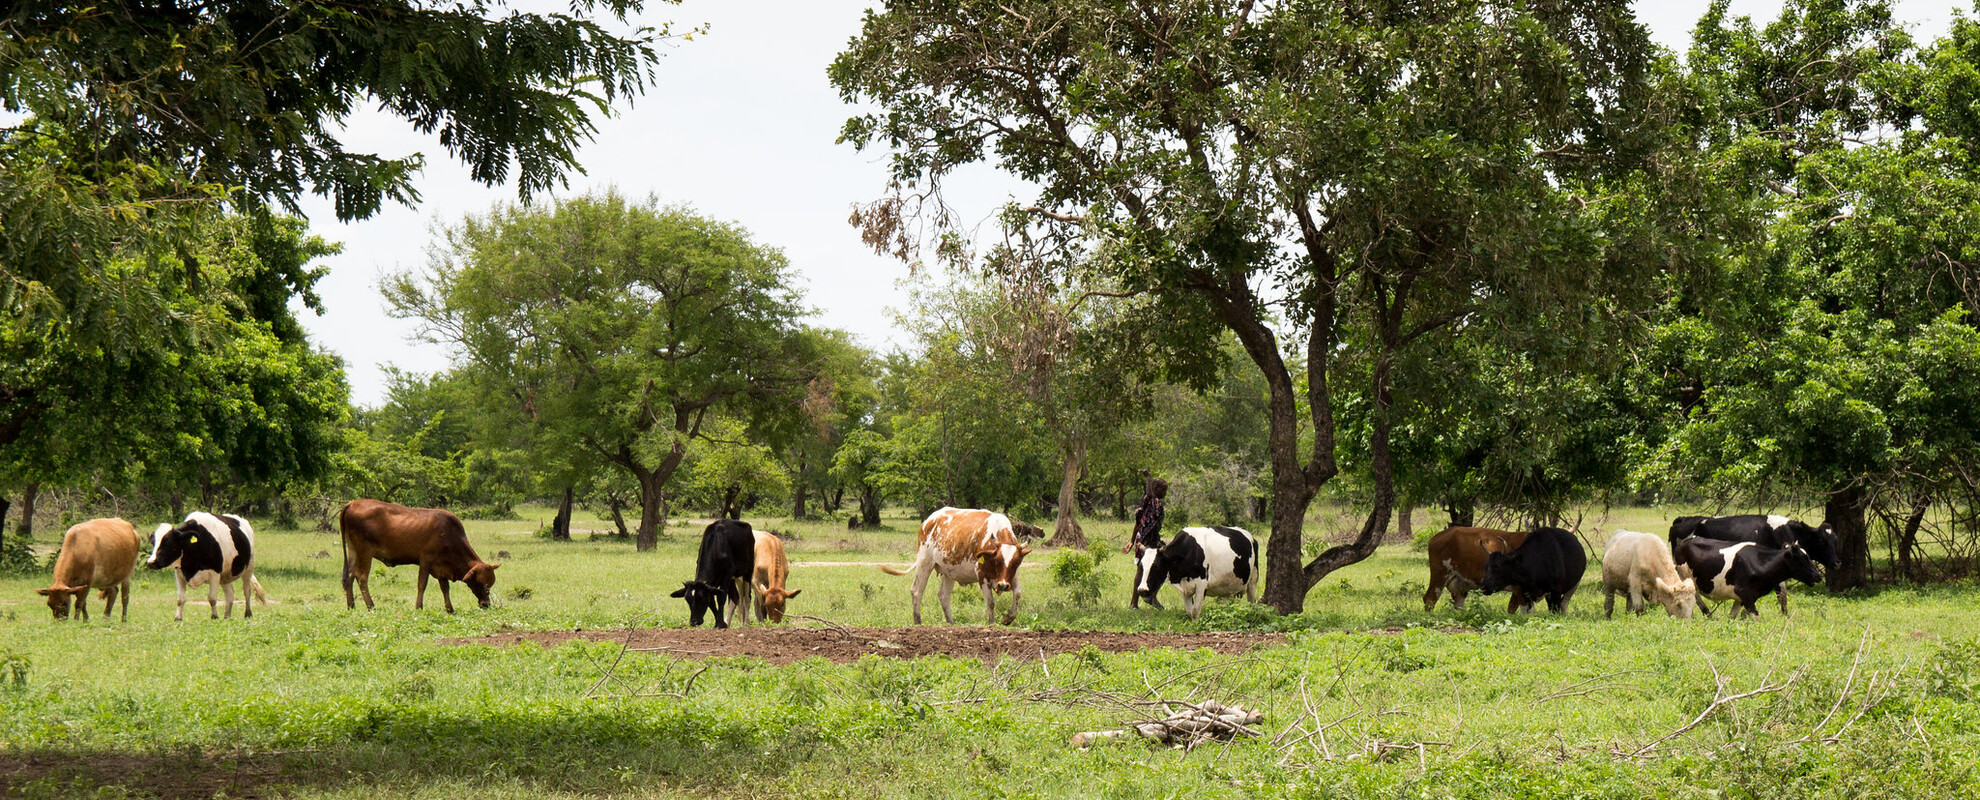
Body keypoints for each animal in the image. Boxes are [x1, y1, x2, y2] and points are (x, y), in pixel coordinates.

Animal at [338, 499, 498, 613]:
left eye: (490, 584)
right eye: (481, 583)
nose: (486, 604)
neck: (450, 535)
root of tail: (352, 503)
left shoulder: (441, 567)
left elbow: (445, 587)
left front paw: (449, 608)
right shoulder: (426, 560)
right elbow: (422, 584)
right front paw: (419, 607)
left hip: (353, 550)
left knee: (349, 576)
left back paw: (351, 606)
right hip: (365, 551)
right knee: (361, 577)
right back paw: (371, 605)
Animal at [883, 506, 1037, 625]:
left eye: (1016, 563)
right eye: (997, 561)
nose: (1003, 586)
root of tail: (928, 520)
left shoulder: (1011, 576)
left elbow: (1017, 594)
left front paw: (1007, 618)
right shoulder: (982, 575)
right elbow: (990, 602)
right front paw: (992, 624)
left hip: (948, 571)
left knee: (943, 596)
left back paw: (951, 622)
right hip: (924, 563)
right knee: (916, 591)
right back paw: (918, 622)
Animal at [1671, 538, 1821, 617]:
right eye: (1801, 559)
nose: (1818, 576)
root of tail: (1684, 542)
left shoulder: (1743, 597)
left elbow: (1733, 616)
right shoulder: (1744, 593)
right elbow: (1755, 616)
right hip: (1685, 576)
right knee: (1695, 595)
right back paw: (1706, 612)